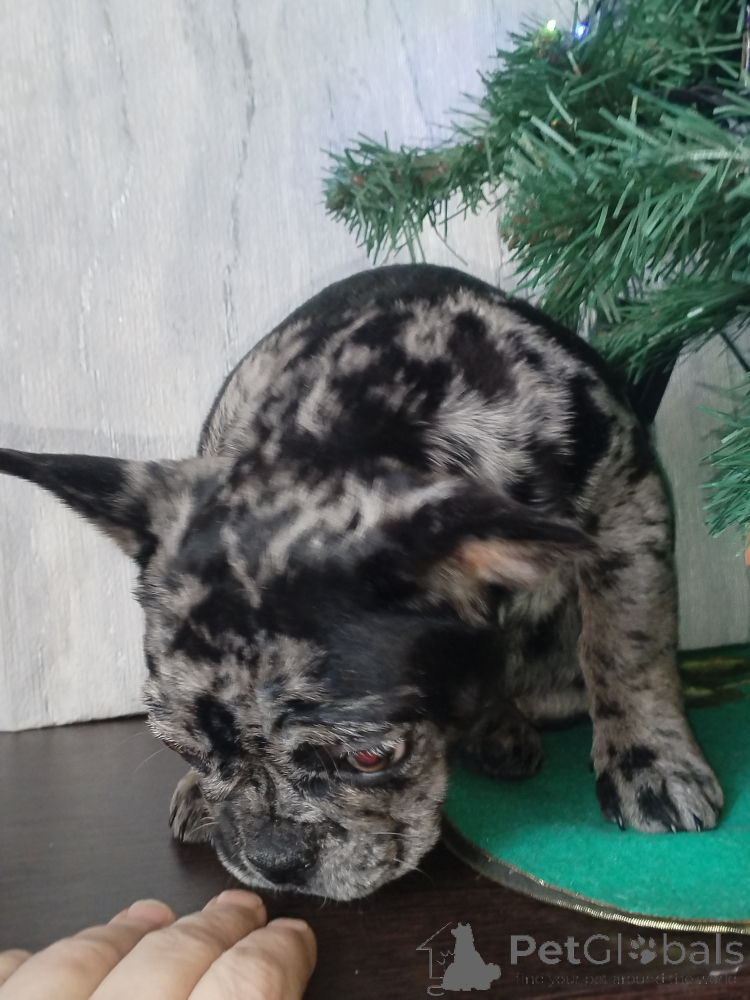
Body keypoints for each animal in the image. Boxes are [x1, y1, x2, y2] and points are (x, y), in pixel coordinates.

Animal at [0, 264, 723, 900]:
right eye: (182, 749)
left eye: (371, 758)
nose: (274, 858)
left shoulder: (627, 501)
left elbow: (626, 642)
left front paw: (652, 761)